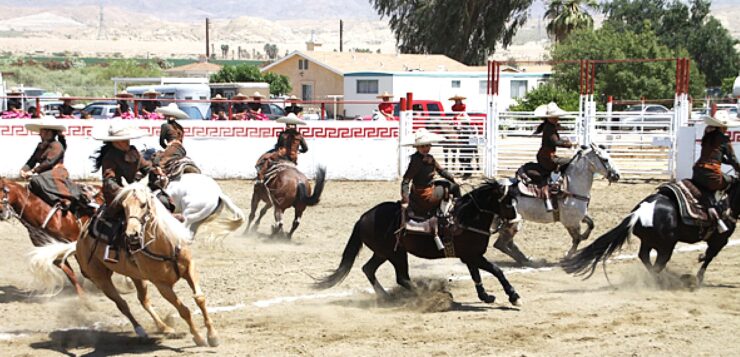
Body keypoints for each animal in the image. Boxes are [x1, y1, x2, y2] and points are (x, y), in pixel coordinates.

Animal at [29, 181, 220, 344]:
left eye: (143, 204)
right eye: (124, 207)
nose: (132, 235)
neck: (165, 246)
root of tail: (78, 242)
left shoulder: (189, 268)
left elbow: (200, 298)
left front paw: (212, 335)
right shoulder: (162, 286)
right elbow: (184, 310)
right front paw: (199, 338)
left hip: (136, 276)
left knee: (144, 300)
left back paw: (165, 328)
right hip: (101, 280)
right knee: (122, 304)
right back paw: (141, 331)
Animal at [316, 181, 524, 306]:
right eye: (507, 203)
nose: (516, 223)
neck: (465, 217)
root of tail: (363, 218)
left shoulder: (470, 256)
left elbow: (476, 275)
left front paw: (485, 296)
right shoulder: (474, 255)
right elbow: (497, 270)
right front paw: (514, 296)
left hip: (384, 253)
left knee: (368, 269)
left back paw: (386, 296)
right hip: (397, 254)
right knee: (401, 278)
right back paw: (427, 295)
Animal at [560, 178, 740, 286]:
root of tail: (640, 212)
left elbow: (708, 256)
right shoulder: (720, 240)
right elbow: (709, 257)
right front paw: (699, 276)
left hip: (649, 241)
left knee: (645, 257)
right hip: (666, 246)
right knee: (658, 263)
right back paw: (667, 280)